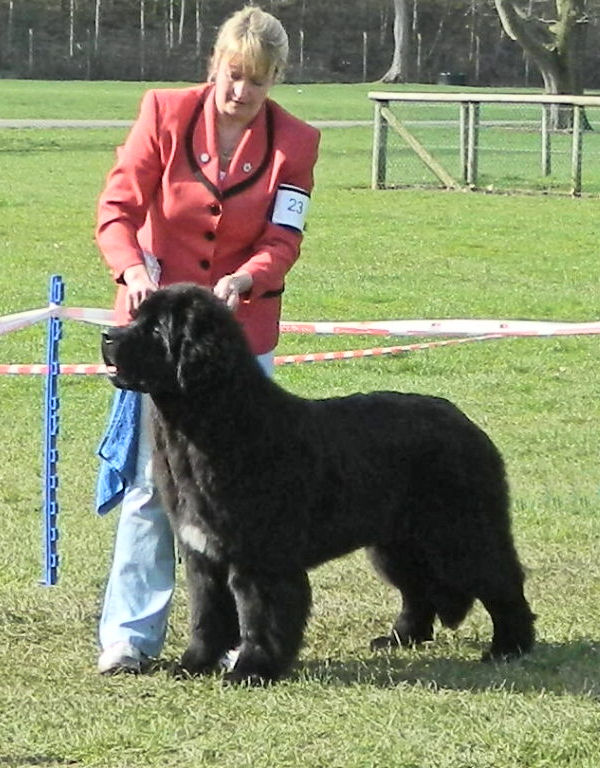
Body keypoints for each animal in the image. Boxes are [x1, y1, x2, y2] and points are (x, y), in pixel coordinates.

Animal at [102, 284, 536, 684]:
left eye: (155, 328)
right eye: (136, 317)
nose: (107, 335)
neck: (215, 425)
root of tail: (465, 422)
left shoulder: (260, 557)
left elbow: (260, 617)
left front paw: (252, 670)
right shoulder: (203, 555)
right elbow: (207, 617)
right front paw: (192, 665)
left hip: (462, 532)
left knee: (502, 581)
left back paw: (510, 647)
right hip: (397, 542)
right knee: (417, 588)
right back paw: (401, 637)